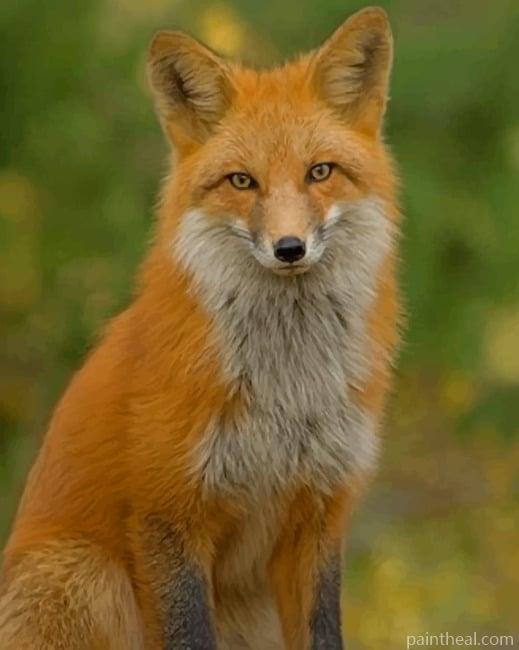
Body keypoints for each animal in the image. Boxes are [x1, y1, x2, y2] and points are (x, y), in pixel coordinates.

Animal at [0, 6, 400, 649]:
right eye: (242, 181)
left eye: (320, 172)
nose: (290, 248)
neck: (286, 393)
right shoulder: (169, 514)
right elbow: (189, 633)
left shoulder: (317, 516)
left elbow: (323, 632)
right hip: (87, 574)